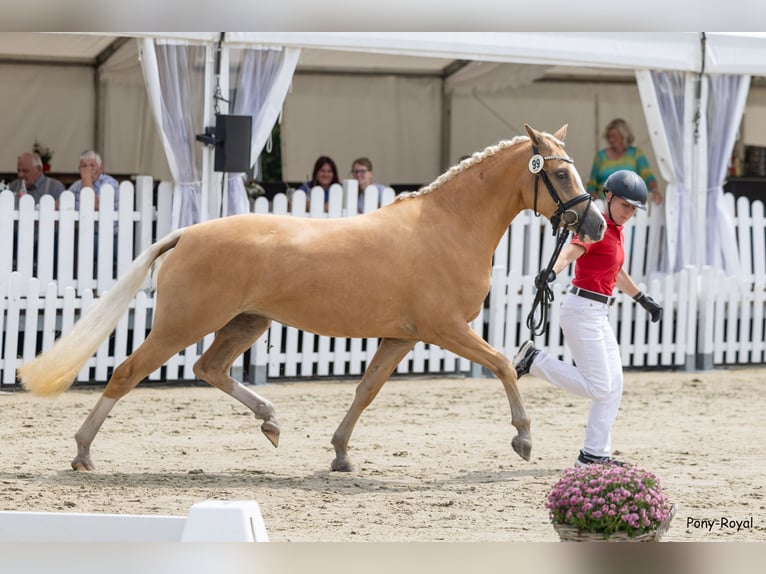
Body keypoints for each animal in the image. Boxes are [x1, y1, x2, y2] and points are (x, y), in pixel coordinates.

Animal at [18, 124, 605, 472]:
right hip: (181, 325)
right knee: (126, 372)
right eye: (559, 172)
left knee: (209, 369)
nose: (595, 224)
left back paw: (271, 420)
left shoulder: (401, 337)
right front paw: (523, 440)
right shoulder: (445, 330)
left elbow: (365, 391)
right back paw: (83, 452)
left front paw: (341, 453)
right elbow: (504, 365)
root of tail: (188, 233)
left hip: (245, 323)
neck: (446, 226)